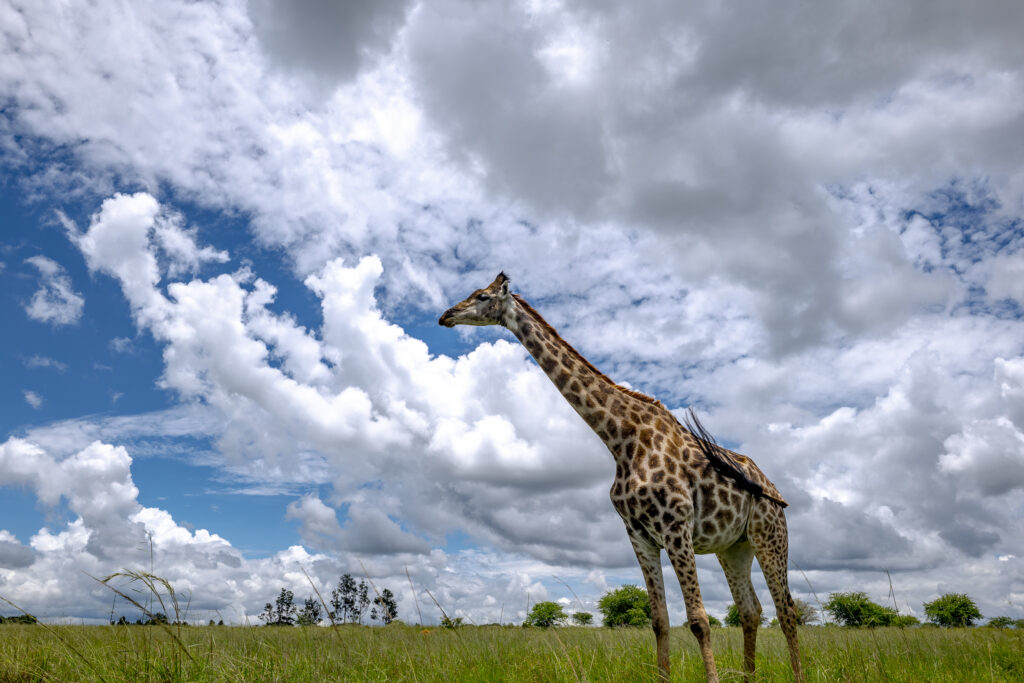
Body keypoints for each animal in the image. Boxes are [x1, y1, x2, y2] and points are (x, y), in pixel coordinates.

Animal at [440, 273, 803, 682]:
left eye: (482, 296)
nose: (445, 315)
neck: (621, 439)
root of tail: (773, 488)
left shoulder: (676, 526)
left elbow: (698, 620)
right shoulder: (639, 534)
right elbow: (659, 621)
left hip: (770, 535)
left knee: (787, 611)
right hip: (734, 547)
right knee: (750, 610)